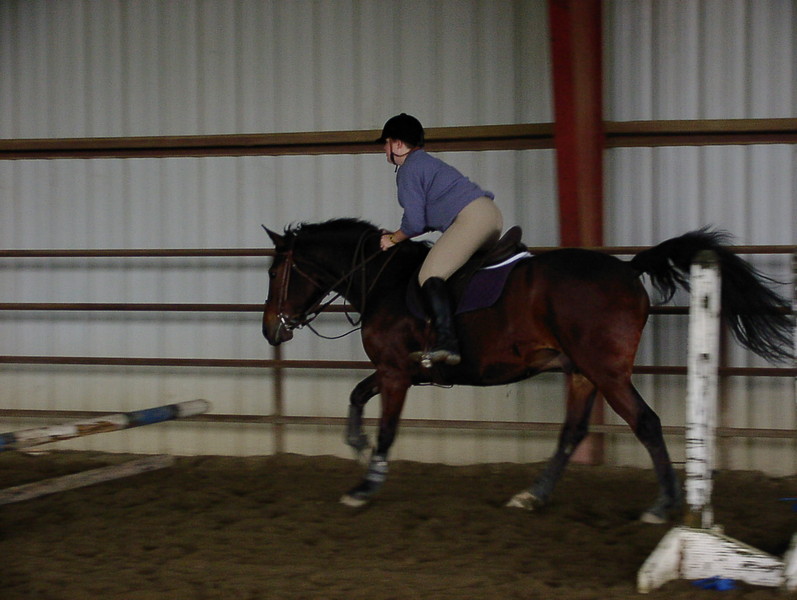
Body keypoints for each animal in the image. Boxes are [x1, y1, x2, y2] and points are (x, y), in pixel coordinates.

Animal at [262, 218, 793, 523]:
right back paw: (533, 496)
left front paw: (364, 487)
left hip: (606, 371)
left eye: (274, 273)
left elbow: (388, 430)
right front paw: (354, 445)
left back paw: (663, 505)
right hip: (582, 373)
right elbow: (356, 396)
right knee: (572, 433)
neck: (382, 278)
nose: (271, 330)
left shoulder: (395, 373)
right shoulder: (400, 369)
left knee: (645, 423)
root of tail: (628, 269)